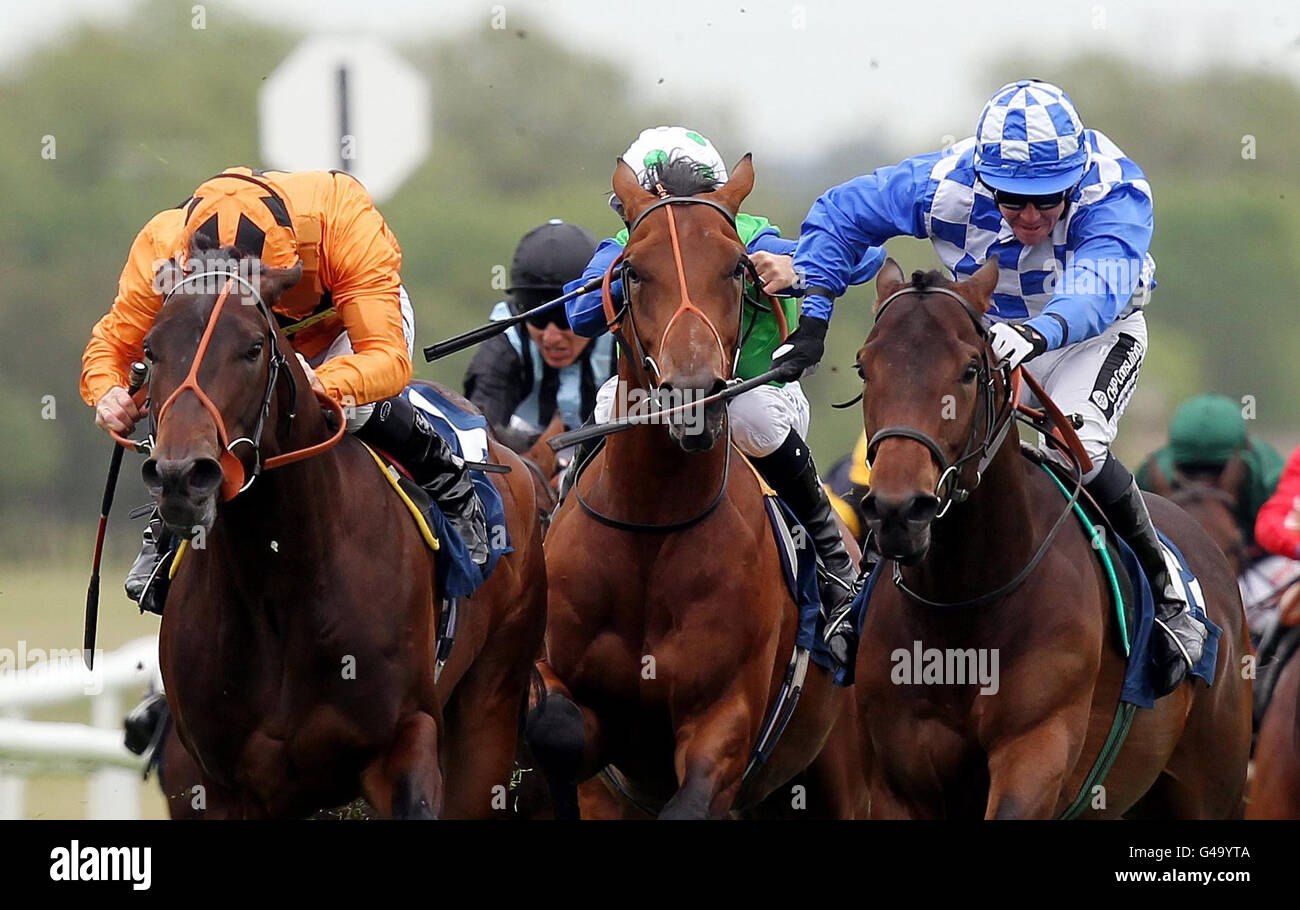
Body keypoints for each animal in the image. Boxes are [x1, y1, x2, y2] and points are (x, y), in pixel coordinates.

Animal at [128, 243, 543, 816]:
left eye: (253, 348)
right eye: (151, 350)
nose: (180, 476)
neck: (282, 580)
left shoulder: (405, 741)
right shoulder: (217, 783)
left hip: (490, 708)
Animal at [522, 154, 868, 816]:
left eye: (737, 268)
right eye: (632, 271)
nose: (693, 400)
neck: (651, 528)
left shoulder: (723, 721)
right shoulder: (570, 701)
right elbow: (557, 729)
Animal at [847, 260, 1253, 821]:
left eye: (969, 370)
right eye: (865, 368)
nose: (898, 510)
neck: (963, 602)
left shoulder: (1036, 749)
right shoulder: (898, 783)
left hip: (1212, 786)